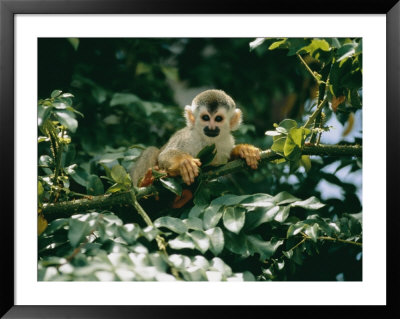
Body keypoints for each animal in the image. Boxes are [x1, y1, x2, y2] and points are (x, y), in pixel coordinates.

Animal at [131, 90, 260, 186]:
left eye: (218, 119)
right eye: (205, 118)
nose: (211, 128)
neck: (207, 141)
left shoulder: (226, 142)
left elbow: (224, 165)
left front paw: (243, 150)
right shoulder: (186, 136)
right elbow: (164, 154)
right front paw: (184, 162)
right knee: (151, 150)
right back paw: (145, 182)